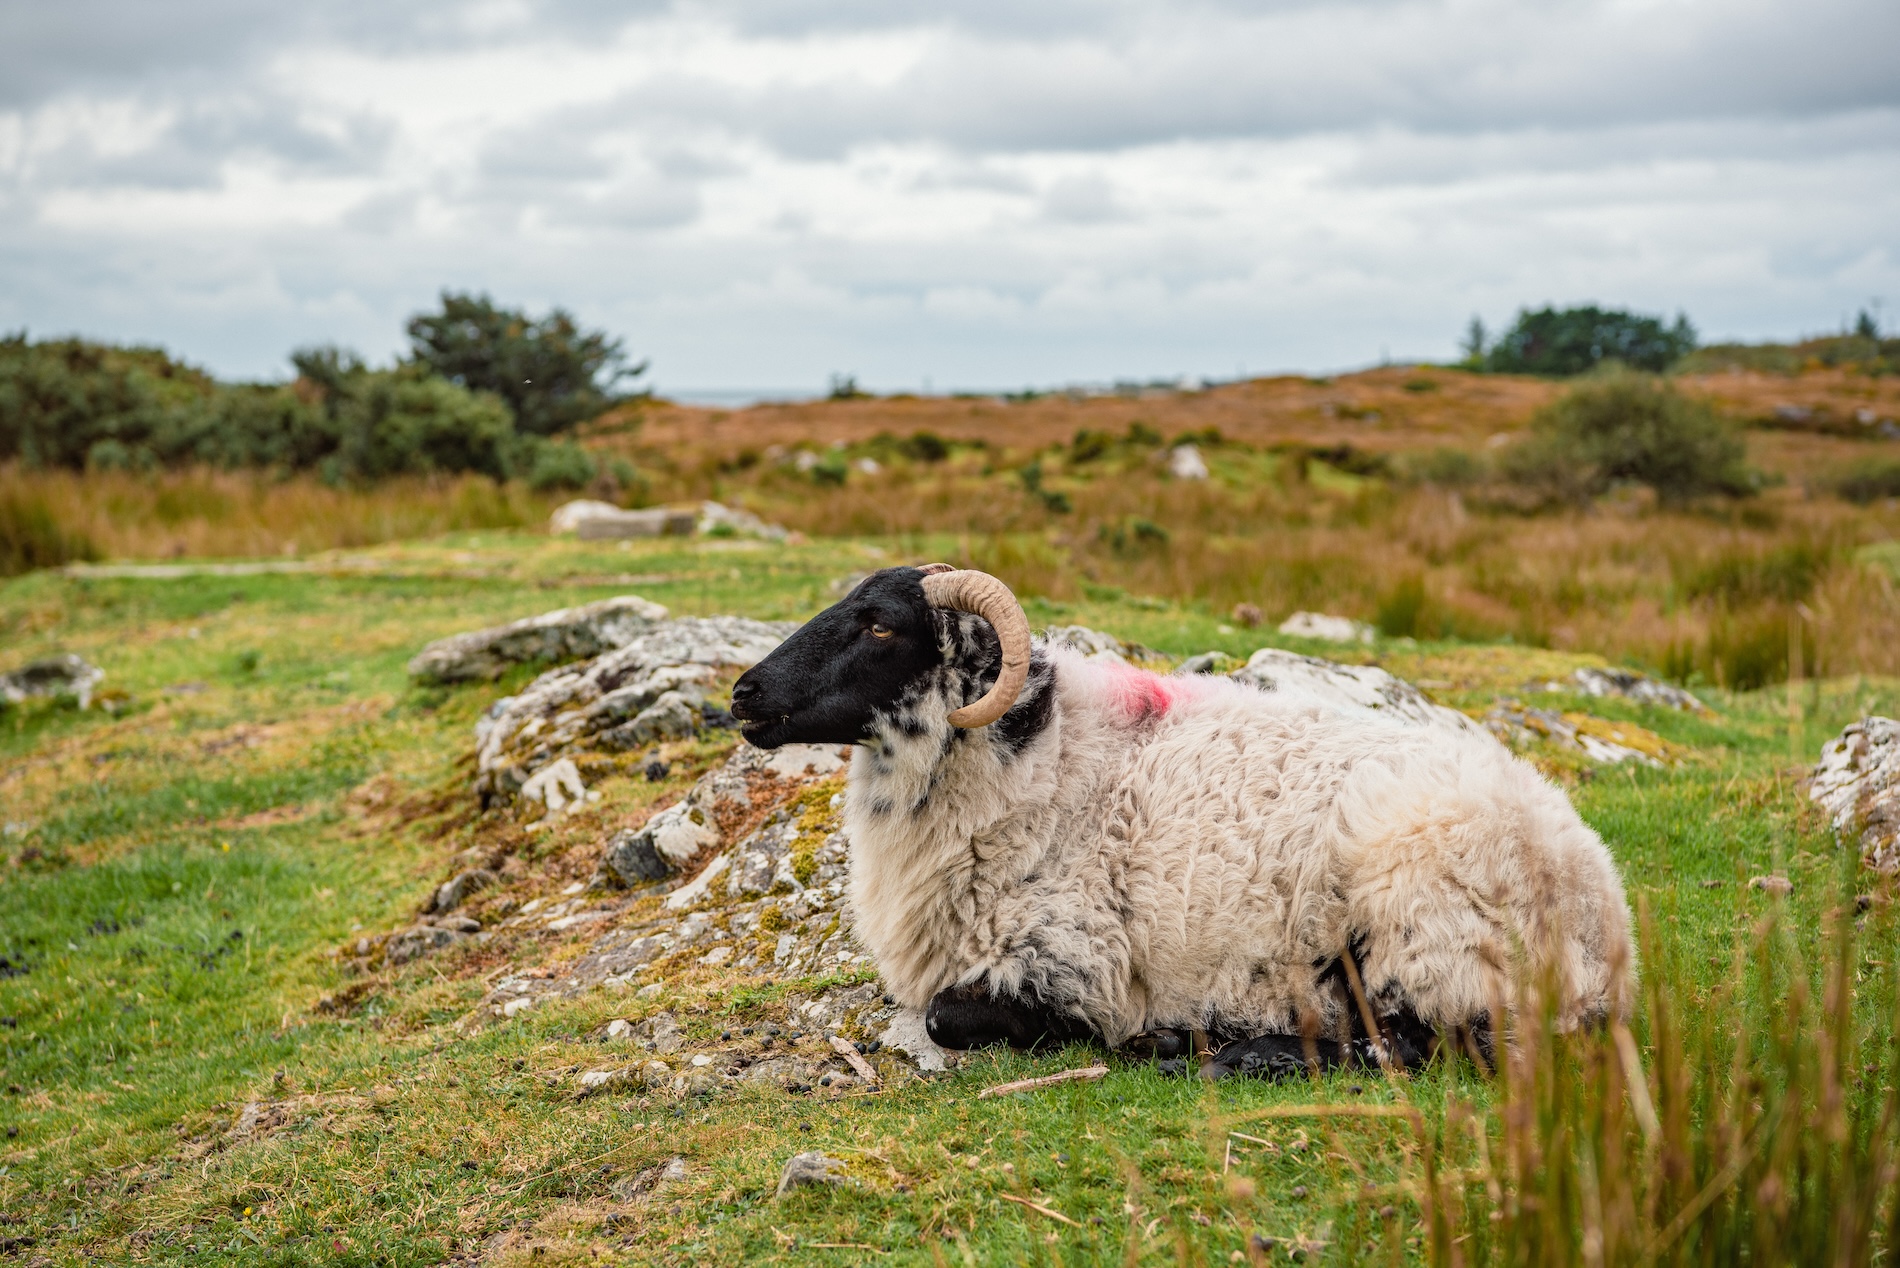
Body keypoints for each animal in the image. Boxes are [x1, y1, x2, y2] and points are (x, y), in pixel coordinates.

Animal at [725, 570, 1634, 1079]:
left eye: (881, 624)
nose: (743, 694)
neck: (1048, 767)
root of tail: (1607, 923)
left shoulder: (1073, 963)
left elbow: (951, 1015)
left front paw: (1122, 1037)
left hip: (1417, 926)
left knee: (1417, 1046)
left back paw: (1222, 1053)